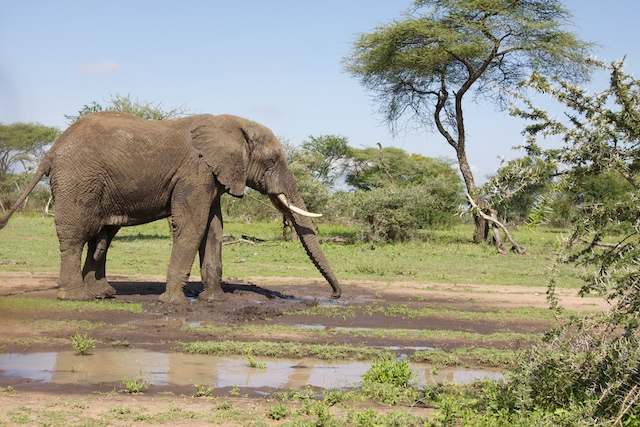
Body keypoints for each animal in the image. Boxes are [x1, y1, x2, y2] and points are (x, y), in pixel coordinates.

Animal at [0, 111, 342, 304]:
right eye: (272, 161)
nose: (334, 295)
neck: (230, 124)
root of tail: (51, 150)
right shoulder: (196, 171)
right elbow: (191, 225)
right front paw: (173, 302)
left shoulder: (211, 175)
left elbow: (213, 230)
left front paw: (213, 300)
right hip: (78, 179)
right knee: (75, 235)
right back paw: (76, 298)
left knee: (102, 238)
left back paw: (103, 294)